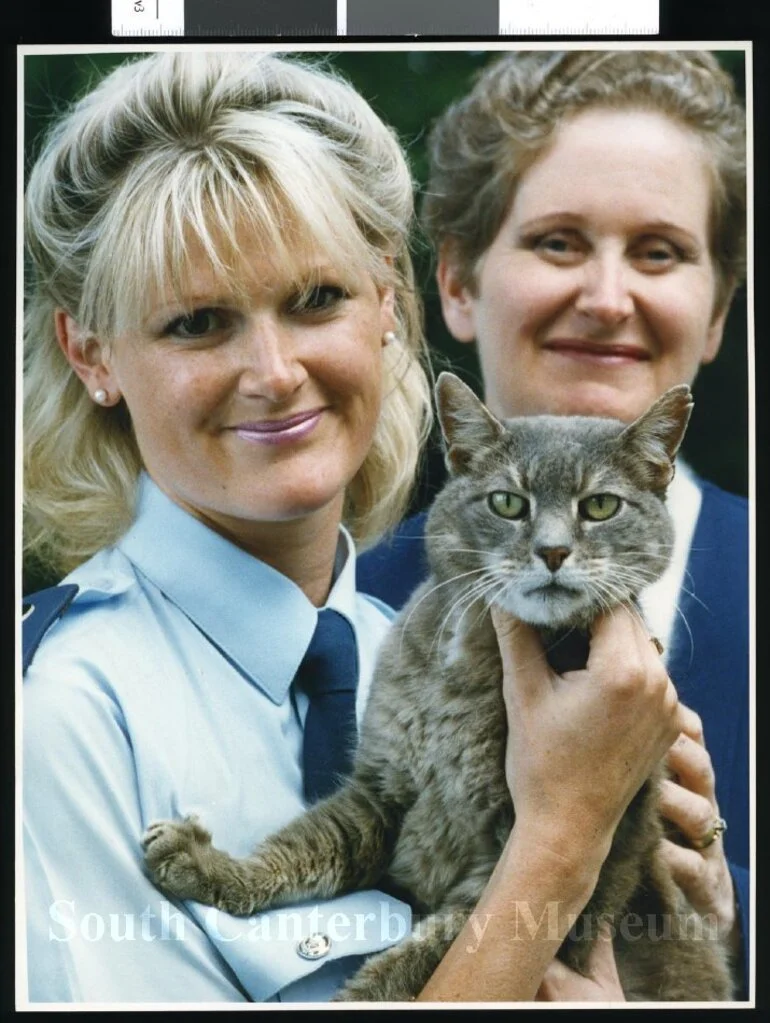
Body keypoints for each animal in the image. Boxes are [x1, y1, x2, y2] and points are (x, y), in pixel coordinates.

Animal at [143, 374, 732, 998]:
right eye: (507, 502)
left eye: (600, 506)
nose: (552, 551)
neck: (472, 666)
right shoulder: (381, 791)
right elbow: (307, 843)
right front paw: (216, 867)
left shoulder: (543, 870)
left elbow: (420, 959)